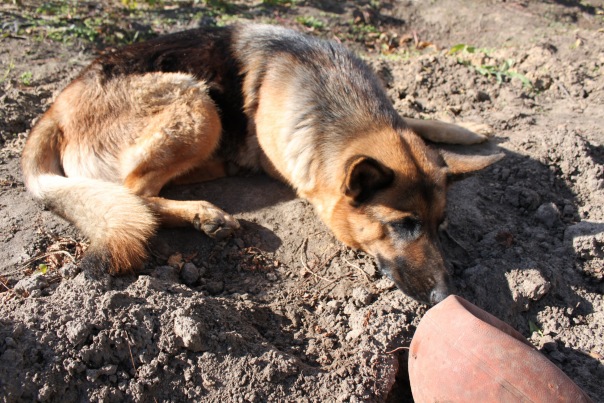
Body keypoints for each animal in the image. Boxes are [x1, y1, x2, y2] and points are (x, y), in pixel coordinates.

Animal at [21, 24, 502, 305]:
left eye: (441, 225)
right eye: (402, 225)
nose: (445, 295)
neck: (342, 108)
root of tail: (55, 108)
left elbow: (414, 118)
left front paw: (470, 128)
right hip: (197, 102)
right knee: (133, 191)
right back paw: (203, 213)